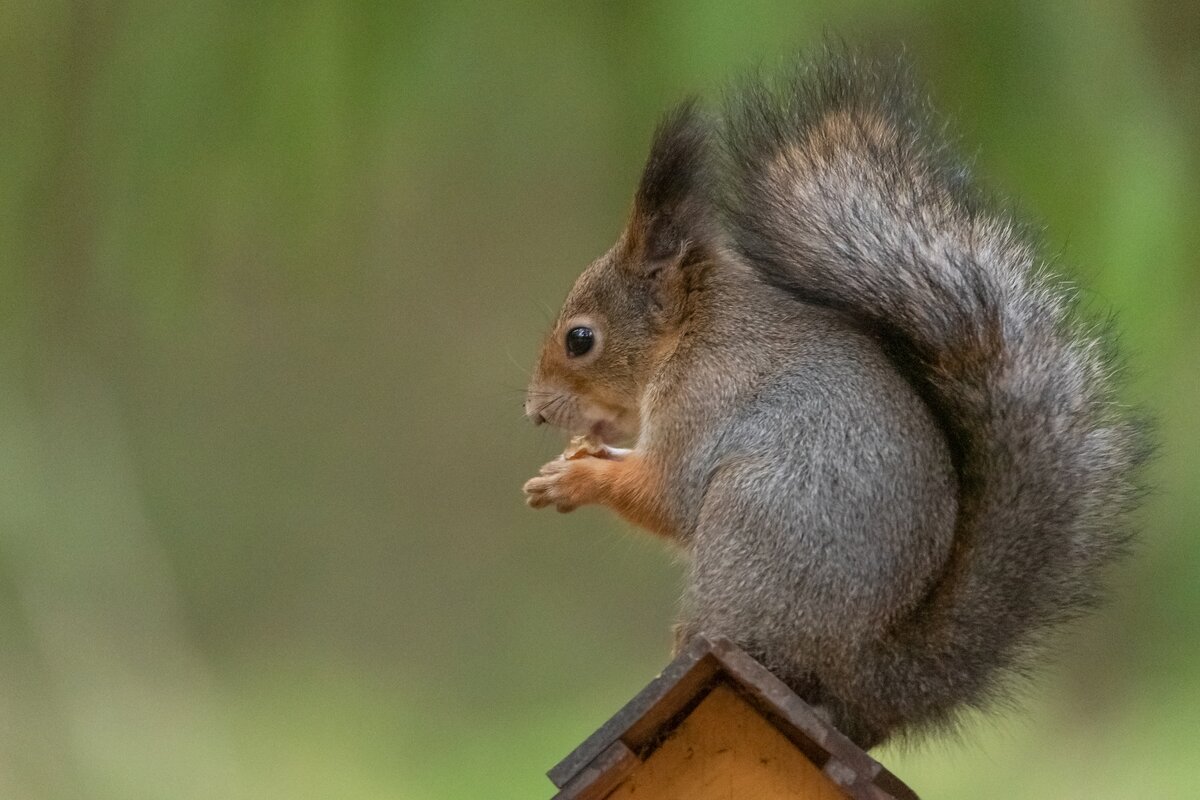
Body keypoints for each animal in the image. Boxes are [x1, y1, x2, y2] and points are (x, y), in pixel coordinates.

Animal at [520, 51, 1147, 753]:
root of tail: (866, 679)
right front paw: (576, 458)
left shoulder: (703, 404)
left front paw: (576, 479)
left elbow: (666, 496)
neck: (691, 334)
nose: (535, 411)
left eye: (580, 339)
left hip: (749, 531)